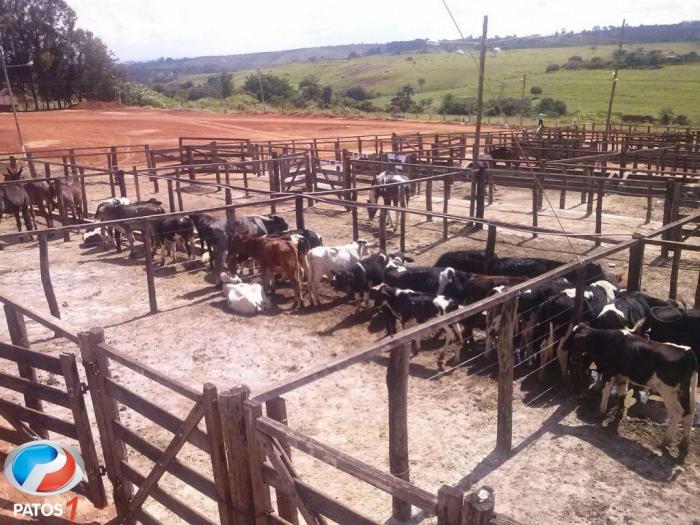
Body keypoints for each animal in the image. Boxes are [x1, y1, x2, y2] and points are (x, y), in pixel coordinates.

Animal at [568, 324, 696, 450]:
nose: (570, 355)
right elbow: (622, 394)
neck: (606, 340)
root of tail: (687, 351)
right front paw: (619, 414)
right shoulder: (623, 375)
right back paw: (684, 443)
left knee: (677, 413)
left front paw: (601, 412)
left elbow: (606, 392)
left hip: (668, 390)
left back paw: (665, 442)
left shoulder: (610, 371)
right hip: (686, 390)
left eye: (573, 339)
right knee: (689, 413)